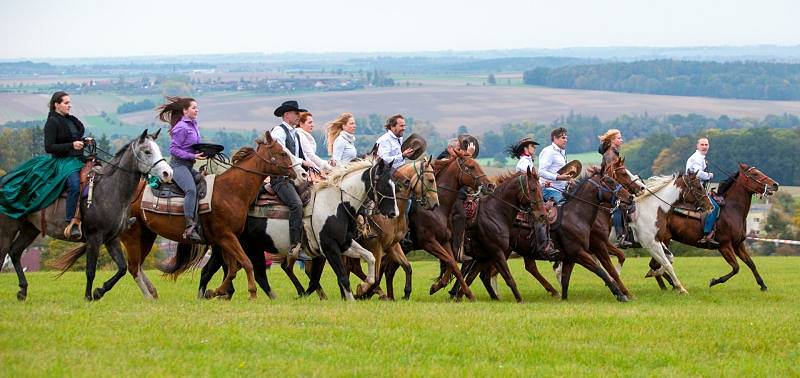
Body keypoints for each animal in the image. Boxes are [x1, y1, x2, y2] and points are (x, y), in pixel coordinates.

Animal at [648, 163, 780, 292]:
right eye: (755, 174)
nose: (775, 185)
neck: (731, 209)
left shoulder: (738, 244)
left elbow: (751, 263)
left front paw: (763, 285)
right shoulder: (724, 246)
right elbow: (736, 267)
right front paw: (715, 281)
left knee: (655, 265)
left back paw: (666, 286)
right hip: (663, 240)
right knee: (656, 265)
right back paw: (670, 284)